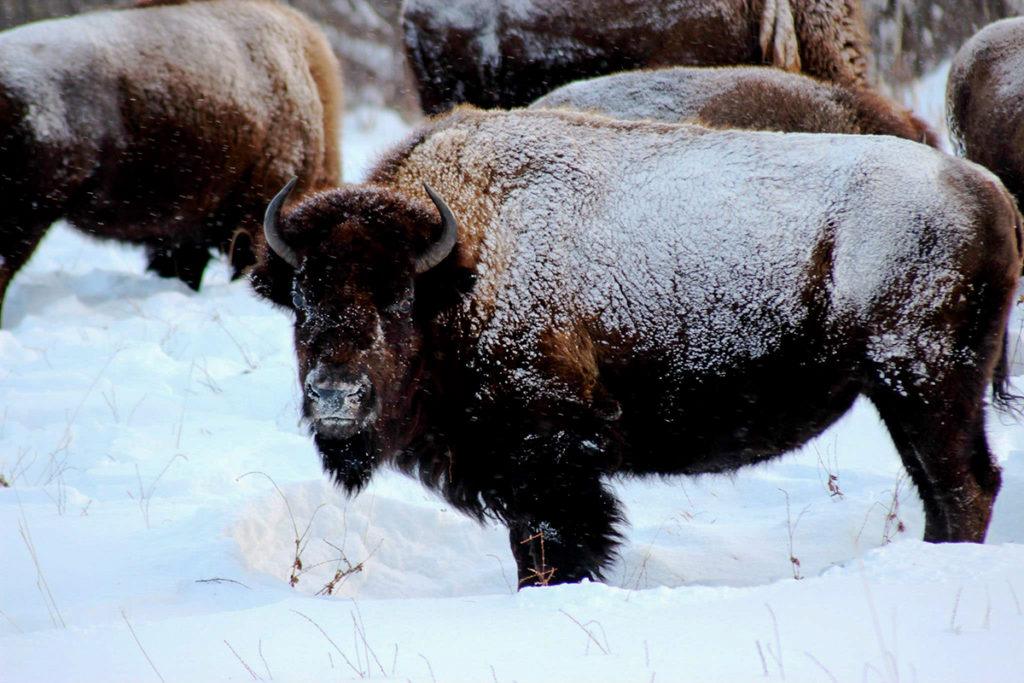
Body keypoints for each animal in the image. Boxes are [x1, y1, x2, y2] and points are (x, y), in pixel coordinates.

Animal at [251, 108, 1019, 589]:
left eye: (396, 298)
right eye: (303, 300)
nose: (336, 395)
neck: (464, 263)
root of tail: (984, 189)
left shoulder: (549, 463)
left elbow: (552, 547)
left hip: (925, 385)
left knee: (964, 485)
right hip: (904, 397)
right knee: (945, 489)